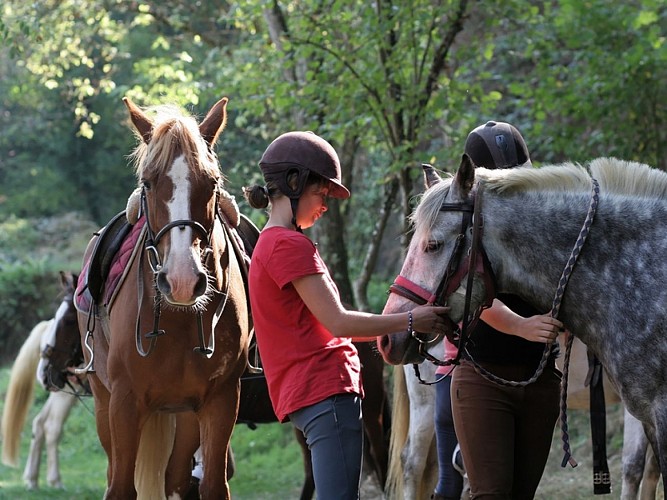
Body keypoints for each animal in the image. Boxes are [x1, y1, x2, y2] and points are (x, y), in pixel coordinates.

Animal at [75, 95, 248, 498]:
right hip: (104, 402)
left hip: (184, 415)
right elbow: (121, 486)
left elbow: (212, 485)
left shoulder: (220, 401)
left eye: (212, 182)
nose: (182, 280)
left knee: (176, 478)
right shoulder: (124, 403)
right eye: (149, 183)